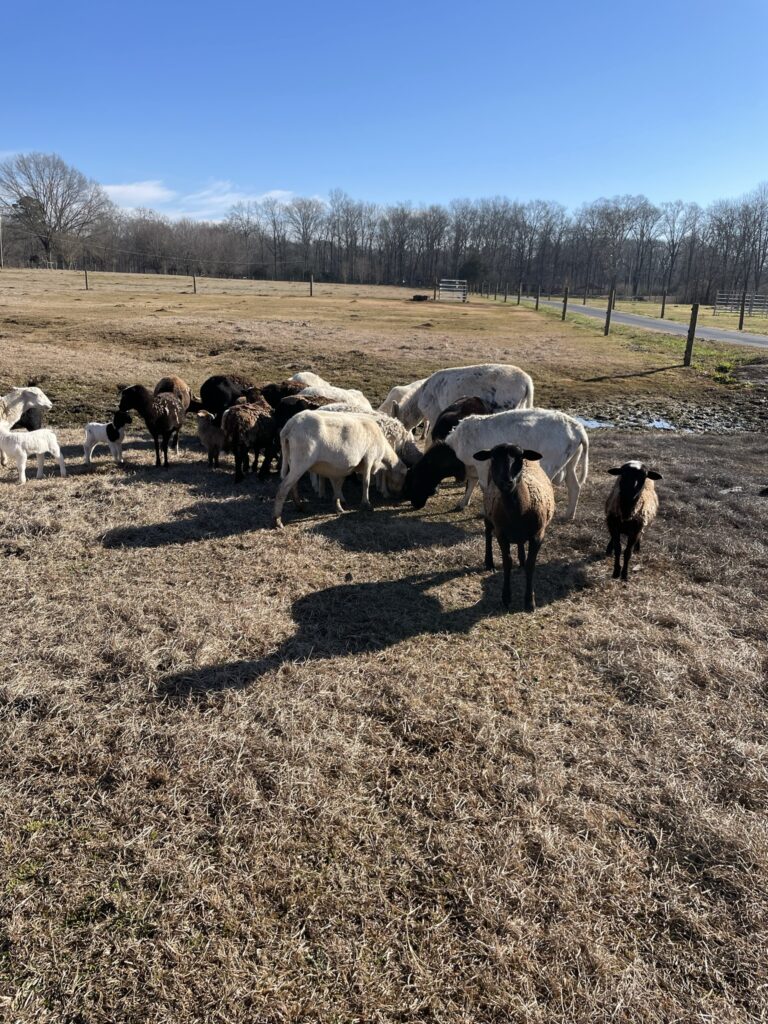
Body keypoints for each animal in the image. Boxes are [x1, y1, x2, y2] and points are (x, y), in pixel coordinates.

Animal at [273, 410, 407, 528]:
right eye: (403, 476)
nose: (399, 495)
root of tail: (289, 426)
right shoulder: (369, 457)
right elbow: (366, 482)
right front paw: (366, 504)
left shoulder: (341, 468)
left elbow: (338, 485)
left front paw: (338, 506)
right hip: (302, 459)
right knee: (283, 487)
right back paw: (277, 520)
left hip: (292, 460)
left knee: (293, 485)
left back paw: (300, 507)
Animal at [403, 409, 588, 521]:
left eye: (416, 480)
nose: (414, 505)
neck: (455, 448)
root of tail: (578, 429)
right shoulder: (472, 467)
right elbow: (471, 484)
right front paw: (463, 503)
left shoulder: (482, 465)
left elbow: (483, 487)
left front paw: (483, 511)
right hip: (570, 463)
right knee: (575, 486)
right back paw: (569, 515)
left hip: (549, 465)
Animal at [475, 444, 555, 612]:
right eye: (493, 457)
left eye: (519, 458)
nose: (507, 482)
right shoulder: (501, 534)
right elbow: (507, 562)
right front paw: (506, 598)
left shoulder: (538, 535)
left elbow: (531, 565)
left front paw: (529, 602)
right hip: (487, 509)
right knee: (487, 532)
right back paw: (489, 562)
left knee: (520, 542)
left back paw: (522, 559)